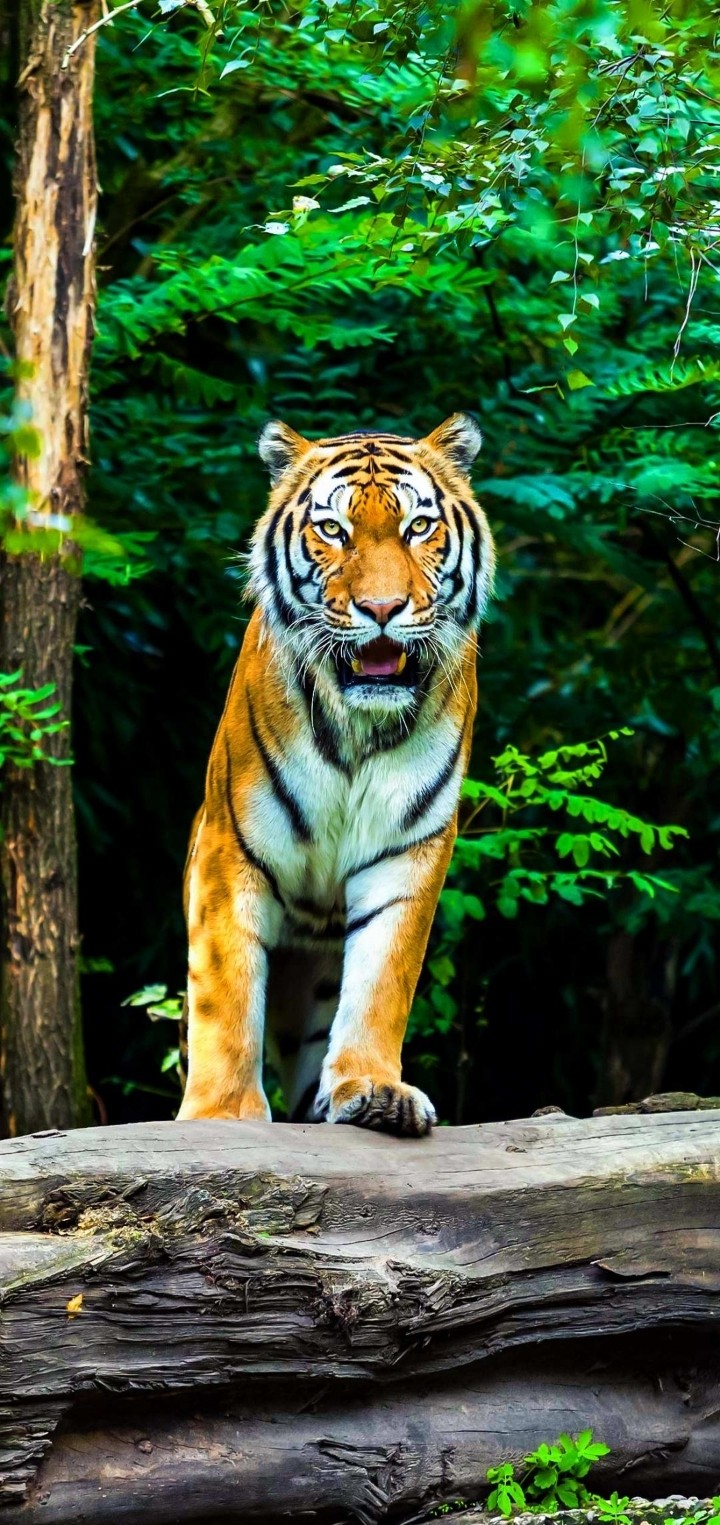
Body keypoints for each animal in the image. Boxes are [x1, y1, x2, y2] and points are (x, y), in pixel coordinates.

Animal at [177, 413, 495, 1136]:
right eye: (332, 530)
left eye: (417, 526)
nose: (382, 608)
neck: (357, 728)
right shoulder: (230, 850)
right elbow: (226, 994)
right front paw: (221, 1115)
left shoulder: (409, 849)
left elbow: (383, 978)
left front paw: (372, 1087)